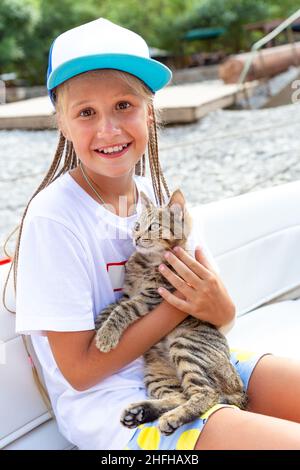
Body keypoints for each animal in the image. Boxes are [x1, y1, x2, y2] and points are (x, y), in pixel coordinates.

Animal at [95, 189, 246, 436]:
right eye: (137, 225)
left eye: (153, 226)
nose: (136, 237)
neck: (147, 263)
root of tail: (239, 388)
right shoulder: (127, 293)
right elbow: (111, 307)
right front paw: (99, 326)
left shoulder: (152, 297)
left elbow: (122, 310)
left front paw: (106, 336)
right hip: (157, 374)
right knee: (181, 395)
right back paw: (139, 412)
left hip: (185, 346)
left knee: (207, 394)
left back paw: (173, 418)